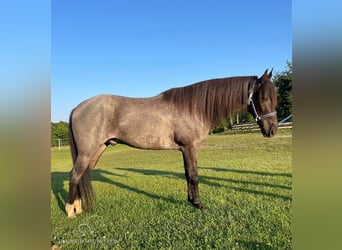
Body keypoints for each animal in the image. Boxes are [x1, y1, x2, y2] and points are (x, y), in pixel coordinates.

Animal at [65, 69, 278, 218]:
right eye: (263, 97)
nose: (273, 130)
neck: (194, 108)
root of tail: (77, 108)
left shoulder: (185, 150)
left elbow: (187, 174)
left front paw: (191, 201)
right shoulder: (189, 147)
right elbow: (194, 175)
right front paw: (199, 204)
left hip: (97, 150)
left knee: (82, 175)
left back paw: (78, 207)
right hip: (87, 152)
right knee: (74, 175)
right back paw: (70, 211)